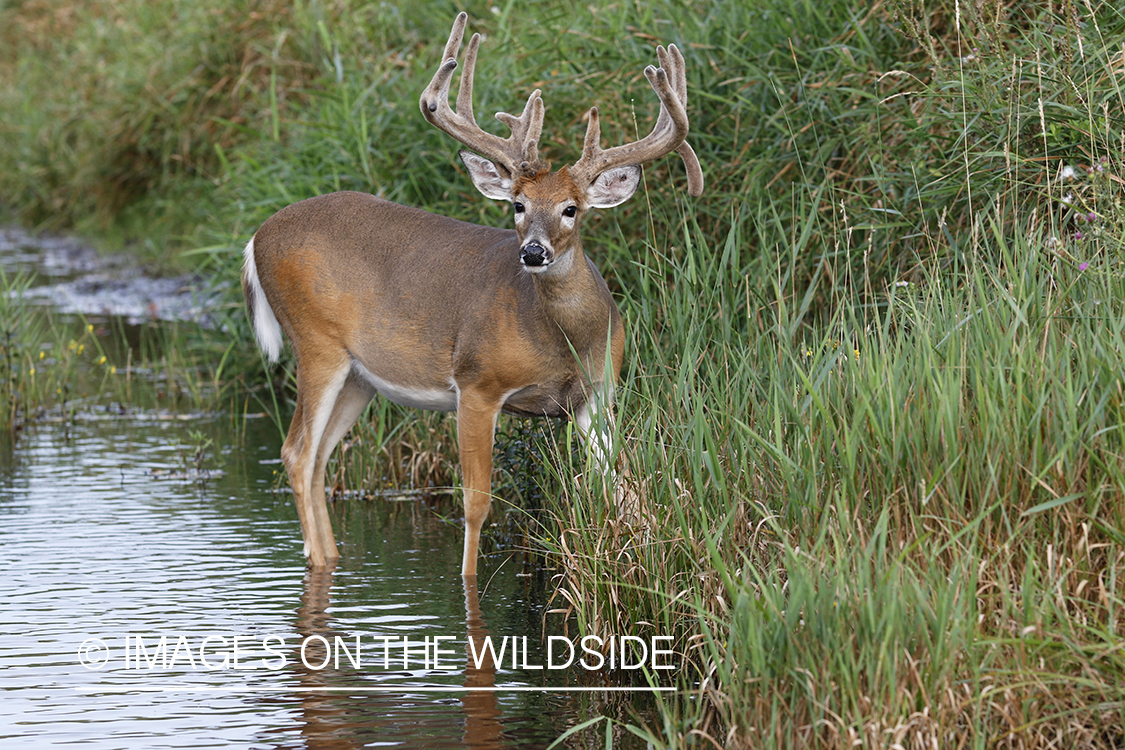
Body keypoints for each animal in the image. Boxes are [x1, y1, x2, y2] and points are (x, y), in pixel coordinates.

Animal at [244, 11, 702, 580]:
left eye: (571, 208)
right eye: (518, 205)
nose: (532, 252)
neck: (562, 341)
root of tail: (256, 237)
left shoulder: (597, 395)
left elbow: (622, 489)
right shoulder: (478, 382)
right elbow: (476, 503)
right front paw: (467, 584)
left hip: (360, 376)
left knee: (321, 457)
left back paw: (330, 559)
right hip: (315, 341)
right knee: (297, 453)